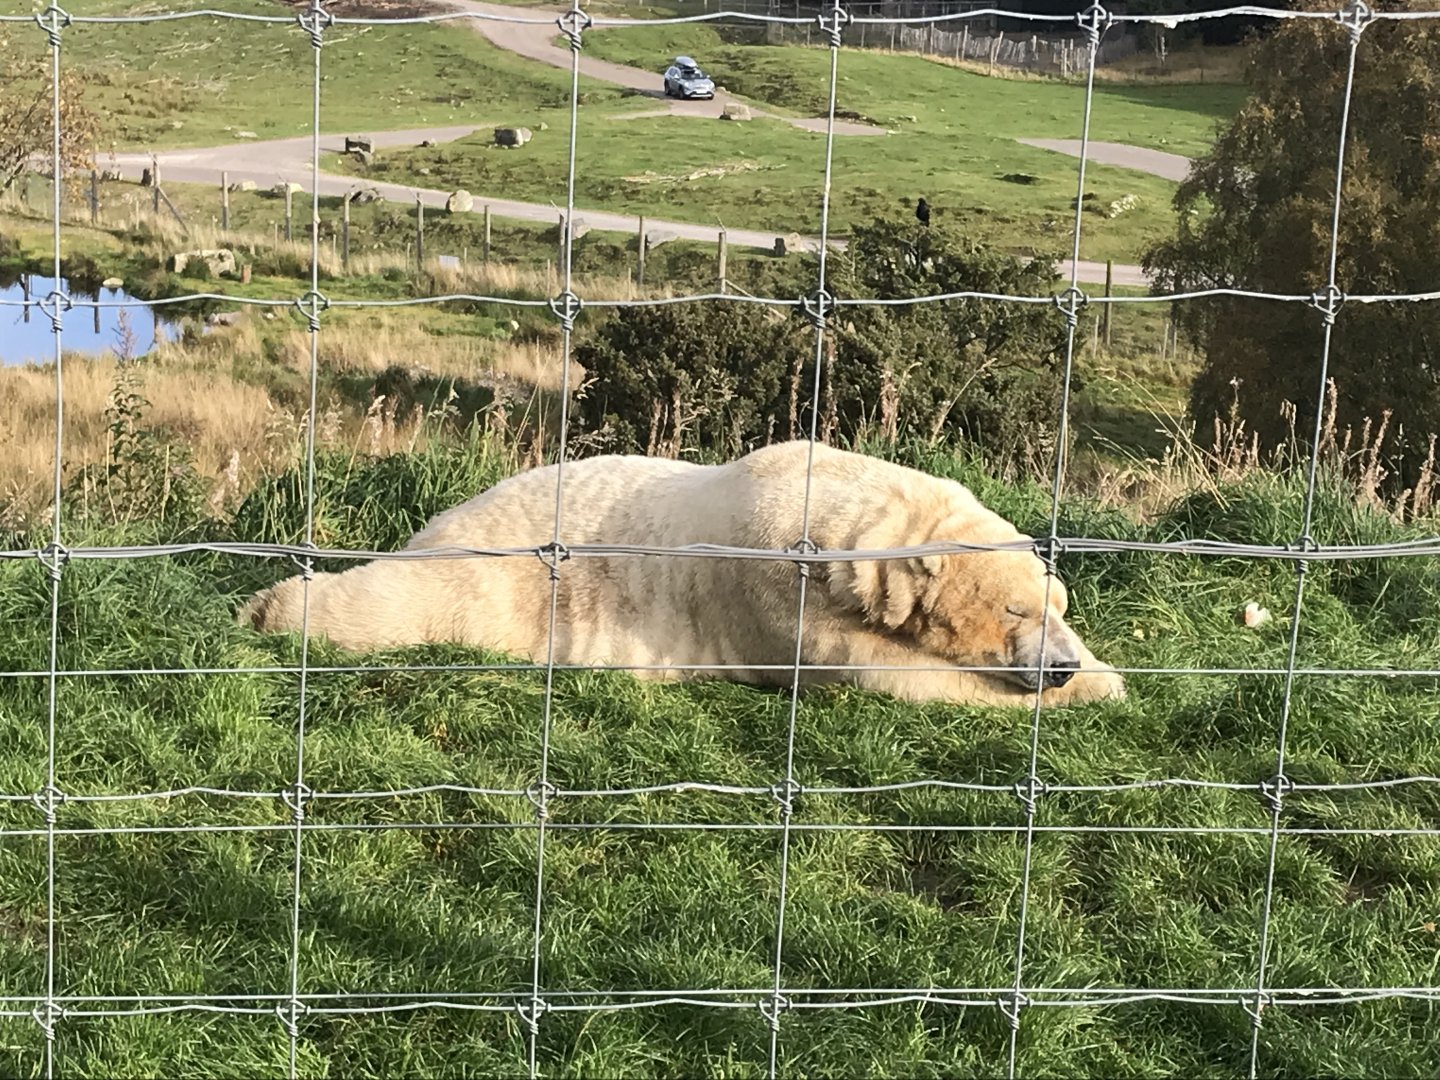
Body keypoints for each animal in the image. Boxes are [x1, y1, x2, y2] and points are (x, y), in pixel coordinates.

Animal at [240, 442, 1125, 707]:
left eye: (1059, 602)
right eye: (1014, 611)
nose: (1060, 665)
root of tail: (440, 523)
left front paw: (1101, 673)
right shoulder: (773, 594)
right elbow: (884, 671)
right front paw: (1093, 689)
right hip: (493, 577)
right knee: (395, 601)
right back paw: (270, 606)